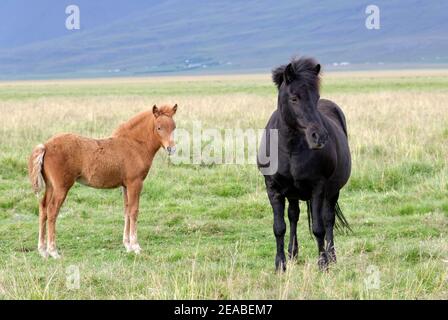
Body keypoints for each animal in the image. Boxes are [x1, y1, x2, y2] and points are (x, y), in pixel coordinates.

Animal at [27, 104, 178, 258]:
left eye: (174, 127)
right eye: (159, 127)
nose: (171, 149)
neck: (134, 144)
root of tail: (45, 146)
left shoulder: (125, 185)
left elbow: (127, 210)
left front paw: (127, 245)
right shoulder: (135, 183)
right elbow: (134, 211)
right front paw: (136, 246)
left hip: (51, 186)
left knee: (43, 207)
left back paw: (43, 250)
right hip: (61, 187)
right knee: (52, 210)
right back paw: (53, 251)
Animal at [258, 56, 352, 272]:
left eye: (316, 97)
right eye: (294, 98)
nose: (320, 136)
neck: (290, 148)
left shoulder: (318, 188)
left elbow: (319, 228)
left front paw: (323, 263)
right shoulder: (273, 189)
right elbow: (279, 227)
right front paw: (280, 264)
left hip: (332, 192)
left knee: (328, 219)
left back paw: (332, 256)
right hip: (292, 193)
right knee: (293, 216)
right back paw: (293, 253)